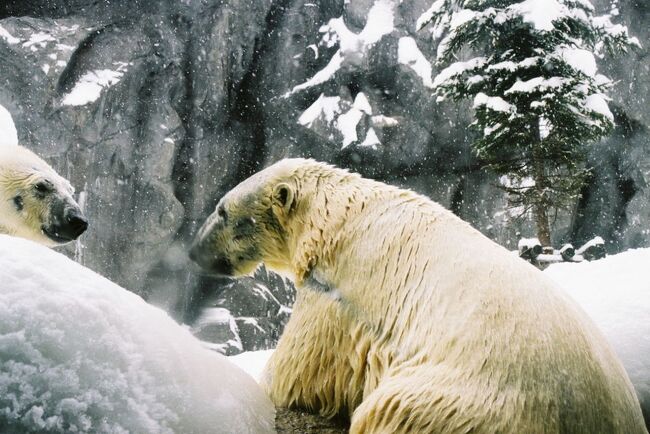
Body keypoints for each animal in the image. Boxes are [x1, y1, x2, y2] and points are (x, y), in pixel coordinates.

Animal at [187, 159, 644, 434]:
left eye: (222, 210)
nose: (193, 252)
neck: (336, 219)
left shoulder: (339, 294)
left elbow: (297, 369)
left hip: (470, 403)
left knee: (390, 409)